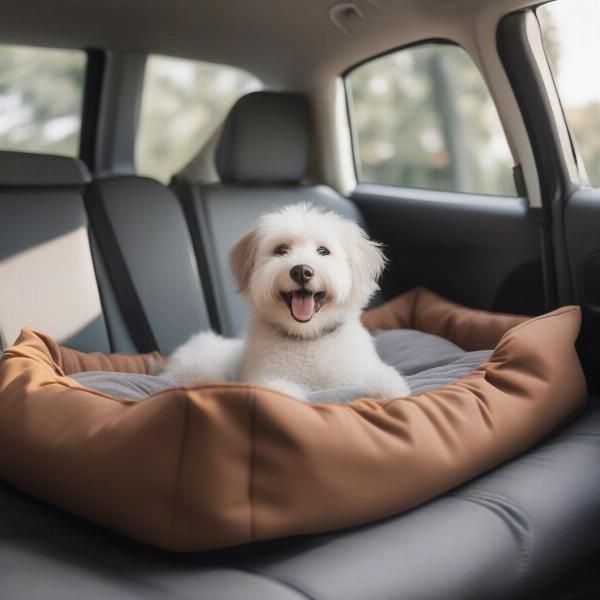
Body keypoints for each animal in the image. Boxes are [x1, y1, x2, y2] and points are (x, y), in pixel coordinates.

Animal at [162, 203, 410, 404]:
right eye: (281, 250)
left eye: (323, 251)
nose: (301, 271)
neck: (307, 339)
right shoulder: (265, 377)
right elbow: (278, 390)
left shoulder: (355, 370)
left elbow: (379, 376)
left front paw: (391, 389)